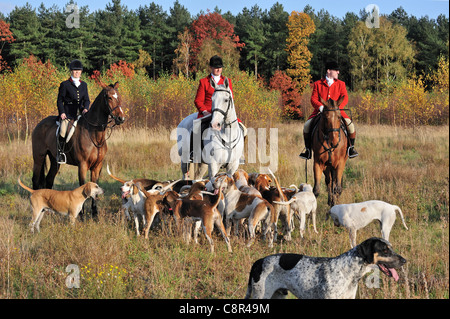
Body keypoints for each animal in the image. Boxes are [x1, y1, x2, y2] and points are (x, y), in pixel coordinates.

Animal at [31, 82, 125, 218]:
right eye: (109, 98)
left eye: (119, 97)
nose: (121, 118)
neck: (94, 134)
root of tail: (39, 124)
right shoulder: (83, 165)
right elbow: (83, 185)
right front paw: (81, 214)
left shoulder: (97, 166)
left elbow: (95, 186)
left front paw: (95, 214)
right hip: (39, 157)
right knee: (35, 179)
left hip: (55, 161)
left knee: (49, 179)